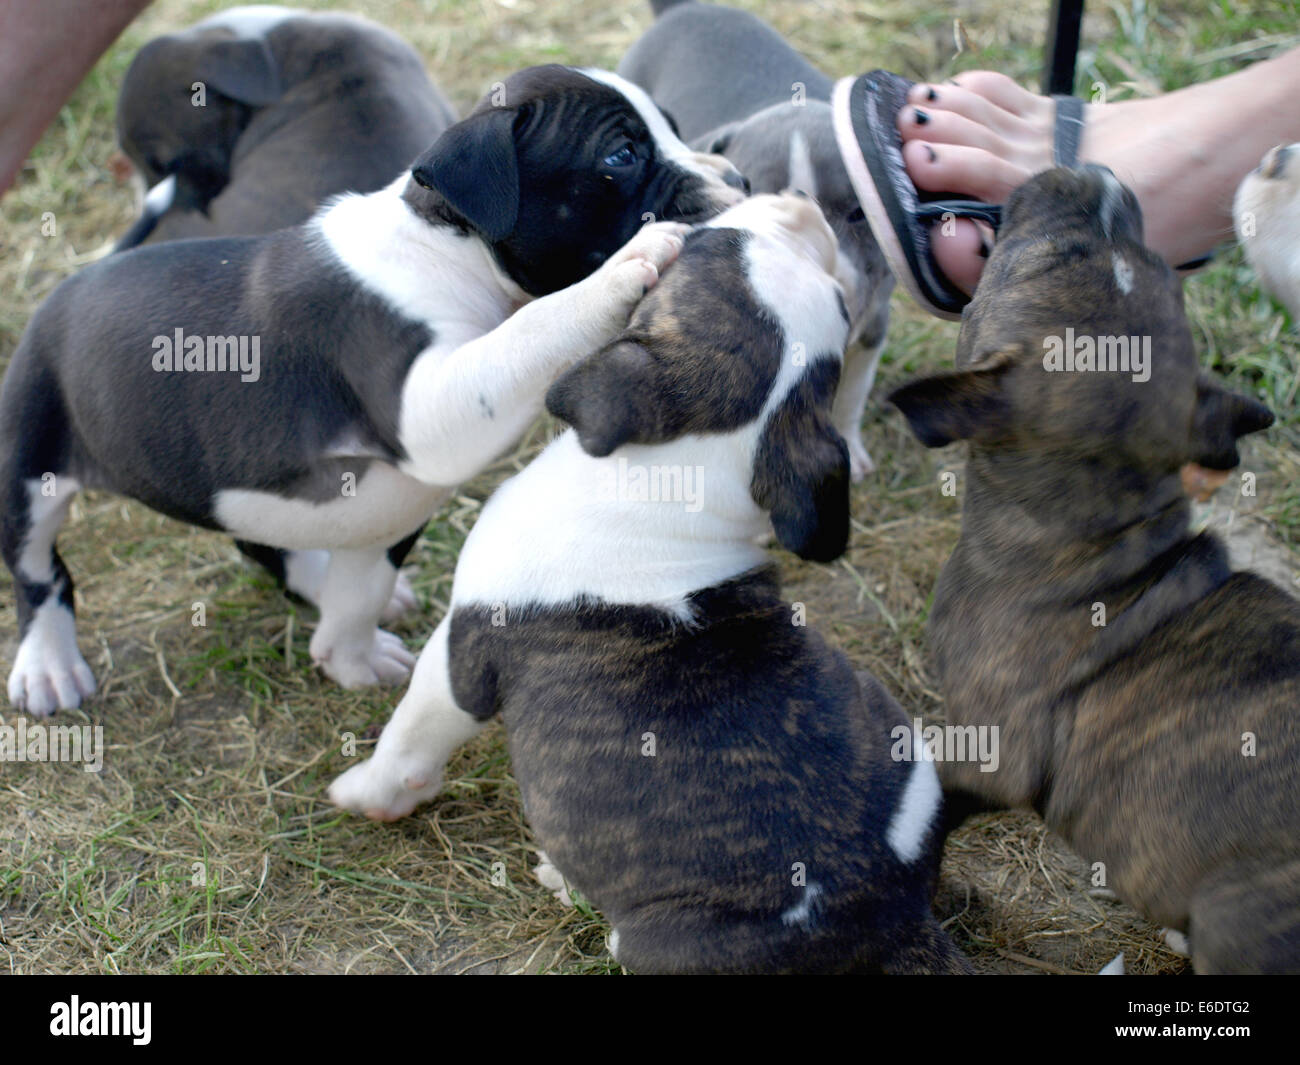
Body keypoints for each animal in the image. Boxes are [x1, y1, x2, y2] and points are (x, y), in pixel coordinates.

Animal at [0, 64, 743, 717]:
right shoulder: (429, 406)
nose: (738, 176)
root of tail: (68, 283)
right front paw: (631, 264)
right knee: (40, 573)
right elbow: (534, 327)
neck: (450, 244)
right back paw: (48, 665)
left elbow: (361, 587)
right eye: (622, 155)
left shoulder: (392, 501)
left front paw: (350, 657)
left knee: (261, 537)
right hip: (30, 464)